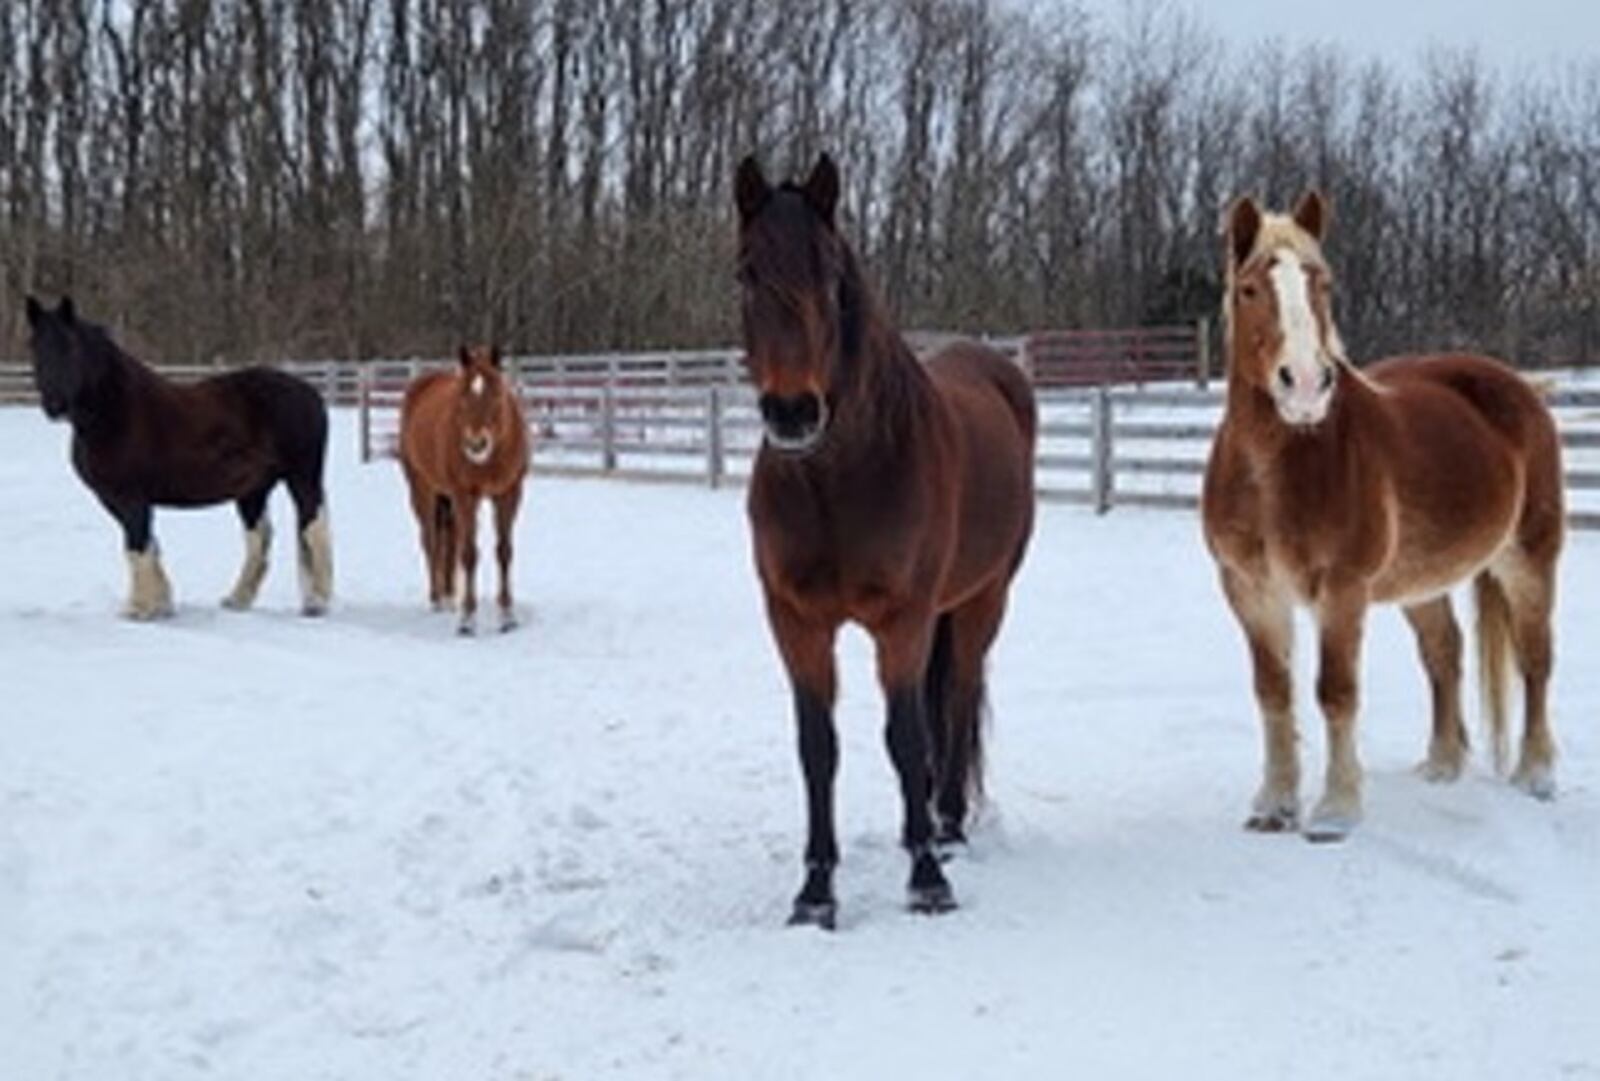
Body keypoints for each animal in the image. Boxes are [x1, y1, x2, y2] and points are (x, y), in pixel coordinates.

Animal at [24, 295, 333, 618]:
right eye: (34, 347)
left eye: (70, 346)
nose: (54, 405)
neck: (115, 412)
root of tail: (309, 392)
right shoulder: (115, 498)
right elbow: (148, 545)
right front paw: (161, 604)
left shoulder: (131, 497)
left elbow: (136, 546)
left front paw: (139, 610)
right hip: (253, 490)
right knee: (259, 538)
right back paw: (236, 600)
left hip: (302, 478)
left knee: (312, 528)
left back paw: (316, 603)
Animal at [398, 345, 530, 635]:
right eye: (462, 397)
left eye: (496, 393)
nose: (476, 444)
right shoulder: (464, 496)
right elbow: (468, 553)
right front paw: (468, 620)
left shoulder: (509, 494)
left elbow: (504, 551)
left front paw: (508, 616)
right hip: (422, 490)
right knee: (431, 540)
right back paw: (437, 599)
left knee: (449, 539)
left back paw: (449, 596)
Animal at [735, 153, 1037, 928]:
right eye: (745, 273)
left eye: (830, 274)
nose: (792, 411)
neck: (839, 482)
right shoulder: (795, 621)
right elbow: (818, 746)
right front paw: (815, 892)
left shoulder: (902, 619)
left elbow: (907, 736)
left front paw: (927, 878)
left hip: (984, 600)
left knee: (957, 698)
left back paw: (948, 825)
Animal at [1201, 193, 1565, 842]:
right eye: (1249, 289)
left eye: (1321, 282)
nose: (1306, 384)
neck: (1279, 464)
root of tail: (1519, 386)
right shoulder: (1249, 590)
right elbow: (1273, 692)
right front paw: (1273, 805)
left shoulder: (1341, 590)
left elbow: (1335, 691)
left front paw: (1336, 811)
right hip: (1422, 583)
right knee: (1444, 653)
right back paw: (1442, 765)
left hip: (1528, 558)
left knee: (1536, 659)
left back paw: (1535, 775)